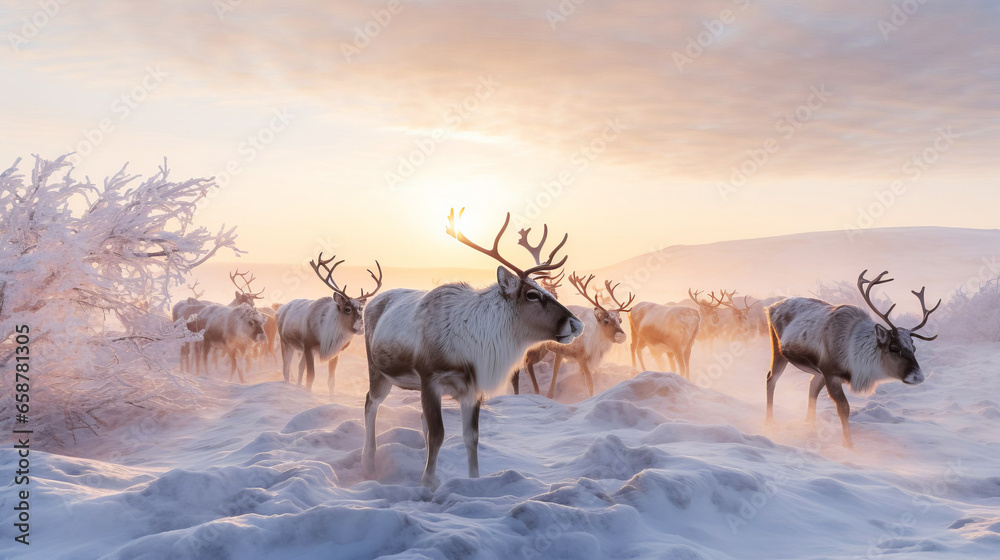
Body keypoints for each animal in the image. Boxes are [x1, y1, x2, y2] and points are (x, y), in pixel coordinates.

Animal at [276, 254, 383, 394]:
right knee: (286, 367)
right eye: (347, 309)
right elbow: (311, 376)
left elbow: (331, 381)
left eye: (361, 309)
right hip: (285, 342)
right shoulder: (309, 346)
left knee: (299, 367)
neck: (327, 335)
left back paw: (298, 387)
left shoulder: (335, 352)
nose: (361, 328)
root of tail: (281, 308)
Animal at [362, 208, 584, 489]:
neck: (478, 343)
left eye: (547, 290)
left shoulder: (472, 389)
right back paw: (369, 463)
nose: (576, 323)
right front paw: (428, 484)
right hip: (378, 372)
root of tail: (371, 302)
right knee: (371, 403)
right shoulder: (430, 379)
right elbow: (439, 434)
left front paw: (473, 480)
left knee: (420, 420)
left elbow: (472, 437)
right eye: (532, 295)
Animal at [765, 270, 940, 448]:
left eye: (914, 348)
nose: (918, 377)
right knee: (771, 379)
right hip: (778, 350)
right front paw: (849, 446)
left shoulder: (825, 372)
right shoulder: (831, 373)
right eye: (894, 348)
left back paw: (809, 424)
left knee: (811, 386)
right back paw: (770, 422)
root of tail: (771, 306)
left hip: (817, 371)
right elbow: (844, 408)